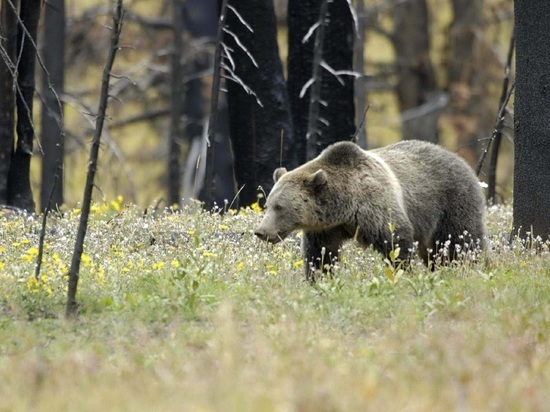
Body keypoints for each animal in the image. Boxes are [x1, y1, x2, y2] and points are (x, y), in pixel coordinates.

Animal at [256, 139, 490, 280]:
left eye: (279, 207)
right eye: (267, 205)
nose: (261, 232)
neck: (344, 206)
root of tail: (461, 160)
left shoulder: (375, 207)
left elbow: (396, 242)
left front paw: (403, 273)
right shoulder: (326, 228)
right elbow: (320, 254)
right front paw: (318, 278)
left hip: (452, 203)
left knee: (461, 242)